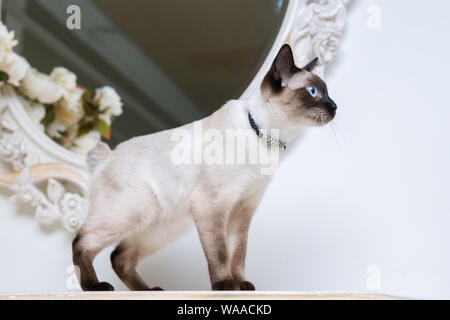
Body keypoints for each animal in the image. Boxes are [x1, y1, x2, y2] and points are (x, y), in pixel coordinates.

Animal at [72, 43, 336, 292]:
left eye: (327, 92)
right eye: (313, 92)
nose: (334, 107)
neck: (268, 140)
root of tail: (107, 155)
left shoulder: (242, 209)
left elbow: (238, 254)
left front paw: (242, 285)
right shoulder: (213, 204)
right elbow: (220, 254)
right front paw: (225, 285)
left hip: (161, 230)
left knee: (119, 258)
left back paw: (148, 291)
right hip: (132, 212)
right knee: (81, 243)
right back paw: (94, 287)